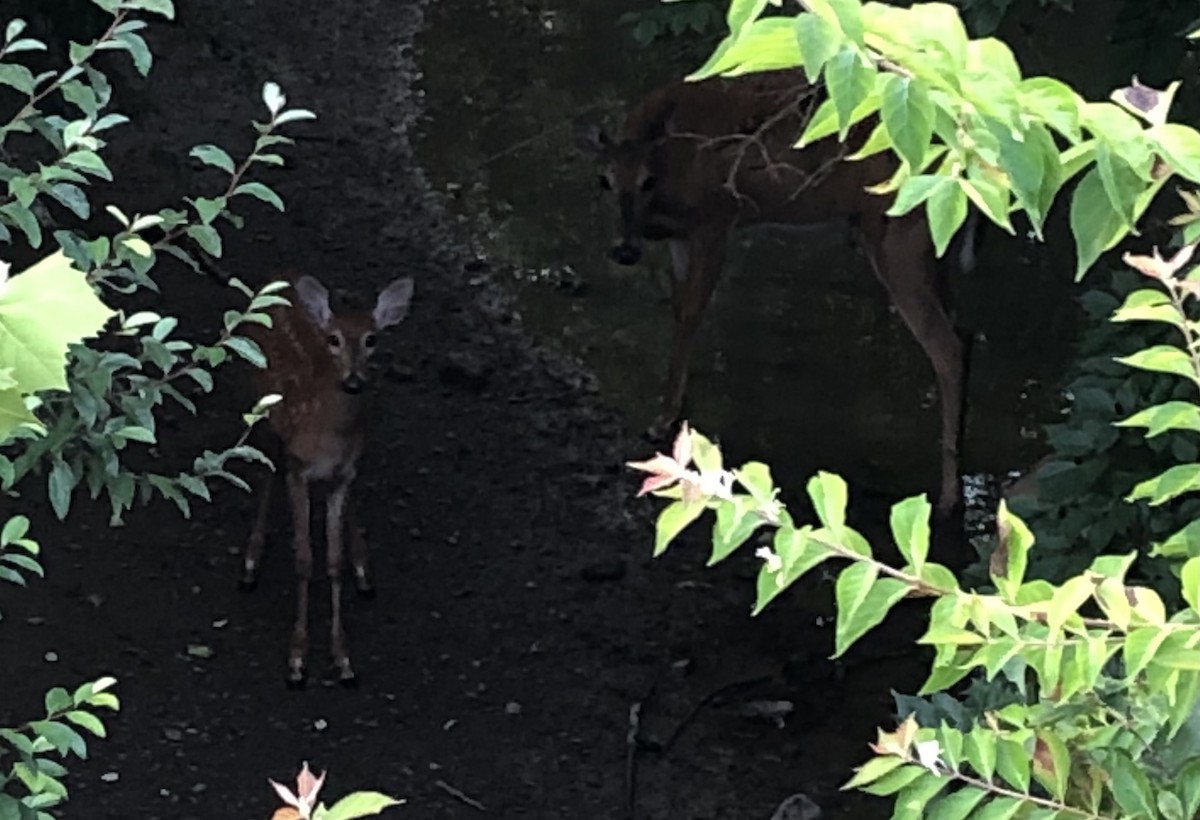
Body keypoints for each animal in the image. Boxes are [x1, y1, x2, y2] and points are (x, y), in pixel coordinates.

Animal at [237, 272, 415, 688]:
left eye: (372, 339)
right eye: (332, 339)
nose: (353, 380)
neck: (328, 435)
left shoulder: (344, 474)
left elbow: (332, 561)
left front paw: (343, 658)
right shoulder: (298, 470)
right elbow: (305, 560)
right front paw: (297, 659)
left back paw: (362, 566)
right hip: (262, 403)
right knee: (267, 465)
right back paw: (251, 559)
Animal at [579, 67, 981, 556]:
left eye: (647, 180)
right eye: (603, 180)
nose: (624, 250)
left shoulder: (717, 219)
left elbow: (692, 312)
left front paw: (663, 420)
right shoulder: (683, 235)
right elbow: (679, 312)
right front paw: (674, 416)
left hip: (899, 235)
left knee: (946, 348)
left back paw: (949, 499)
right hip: (929, 247)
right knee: (964, 332)